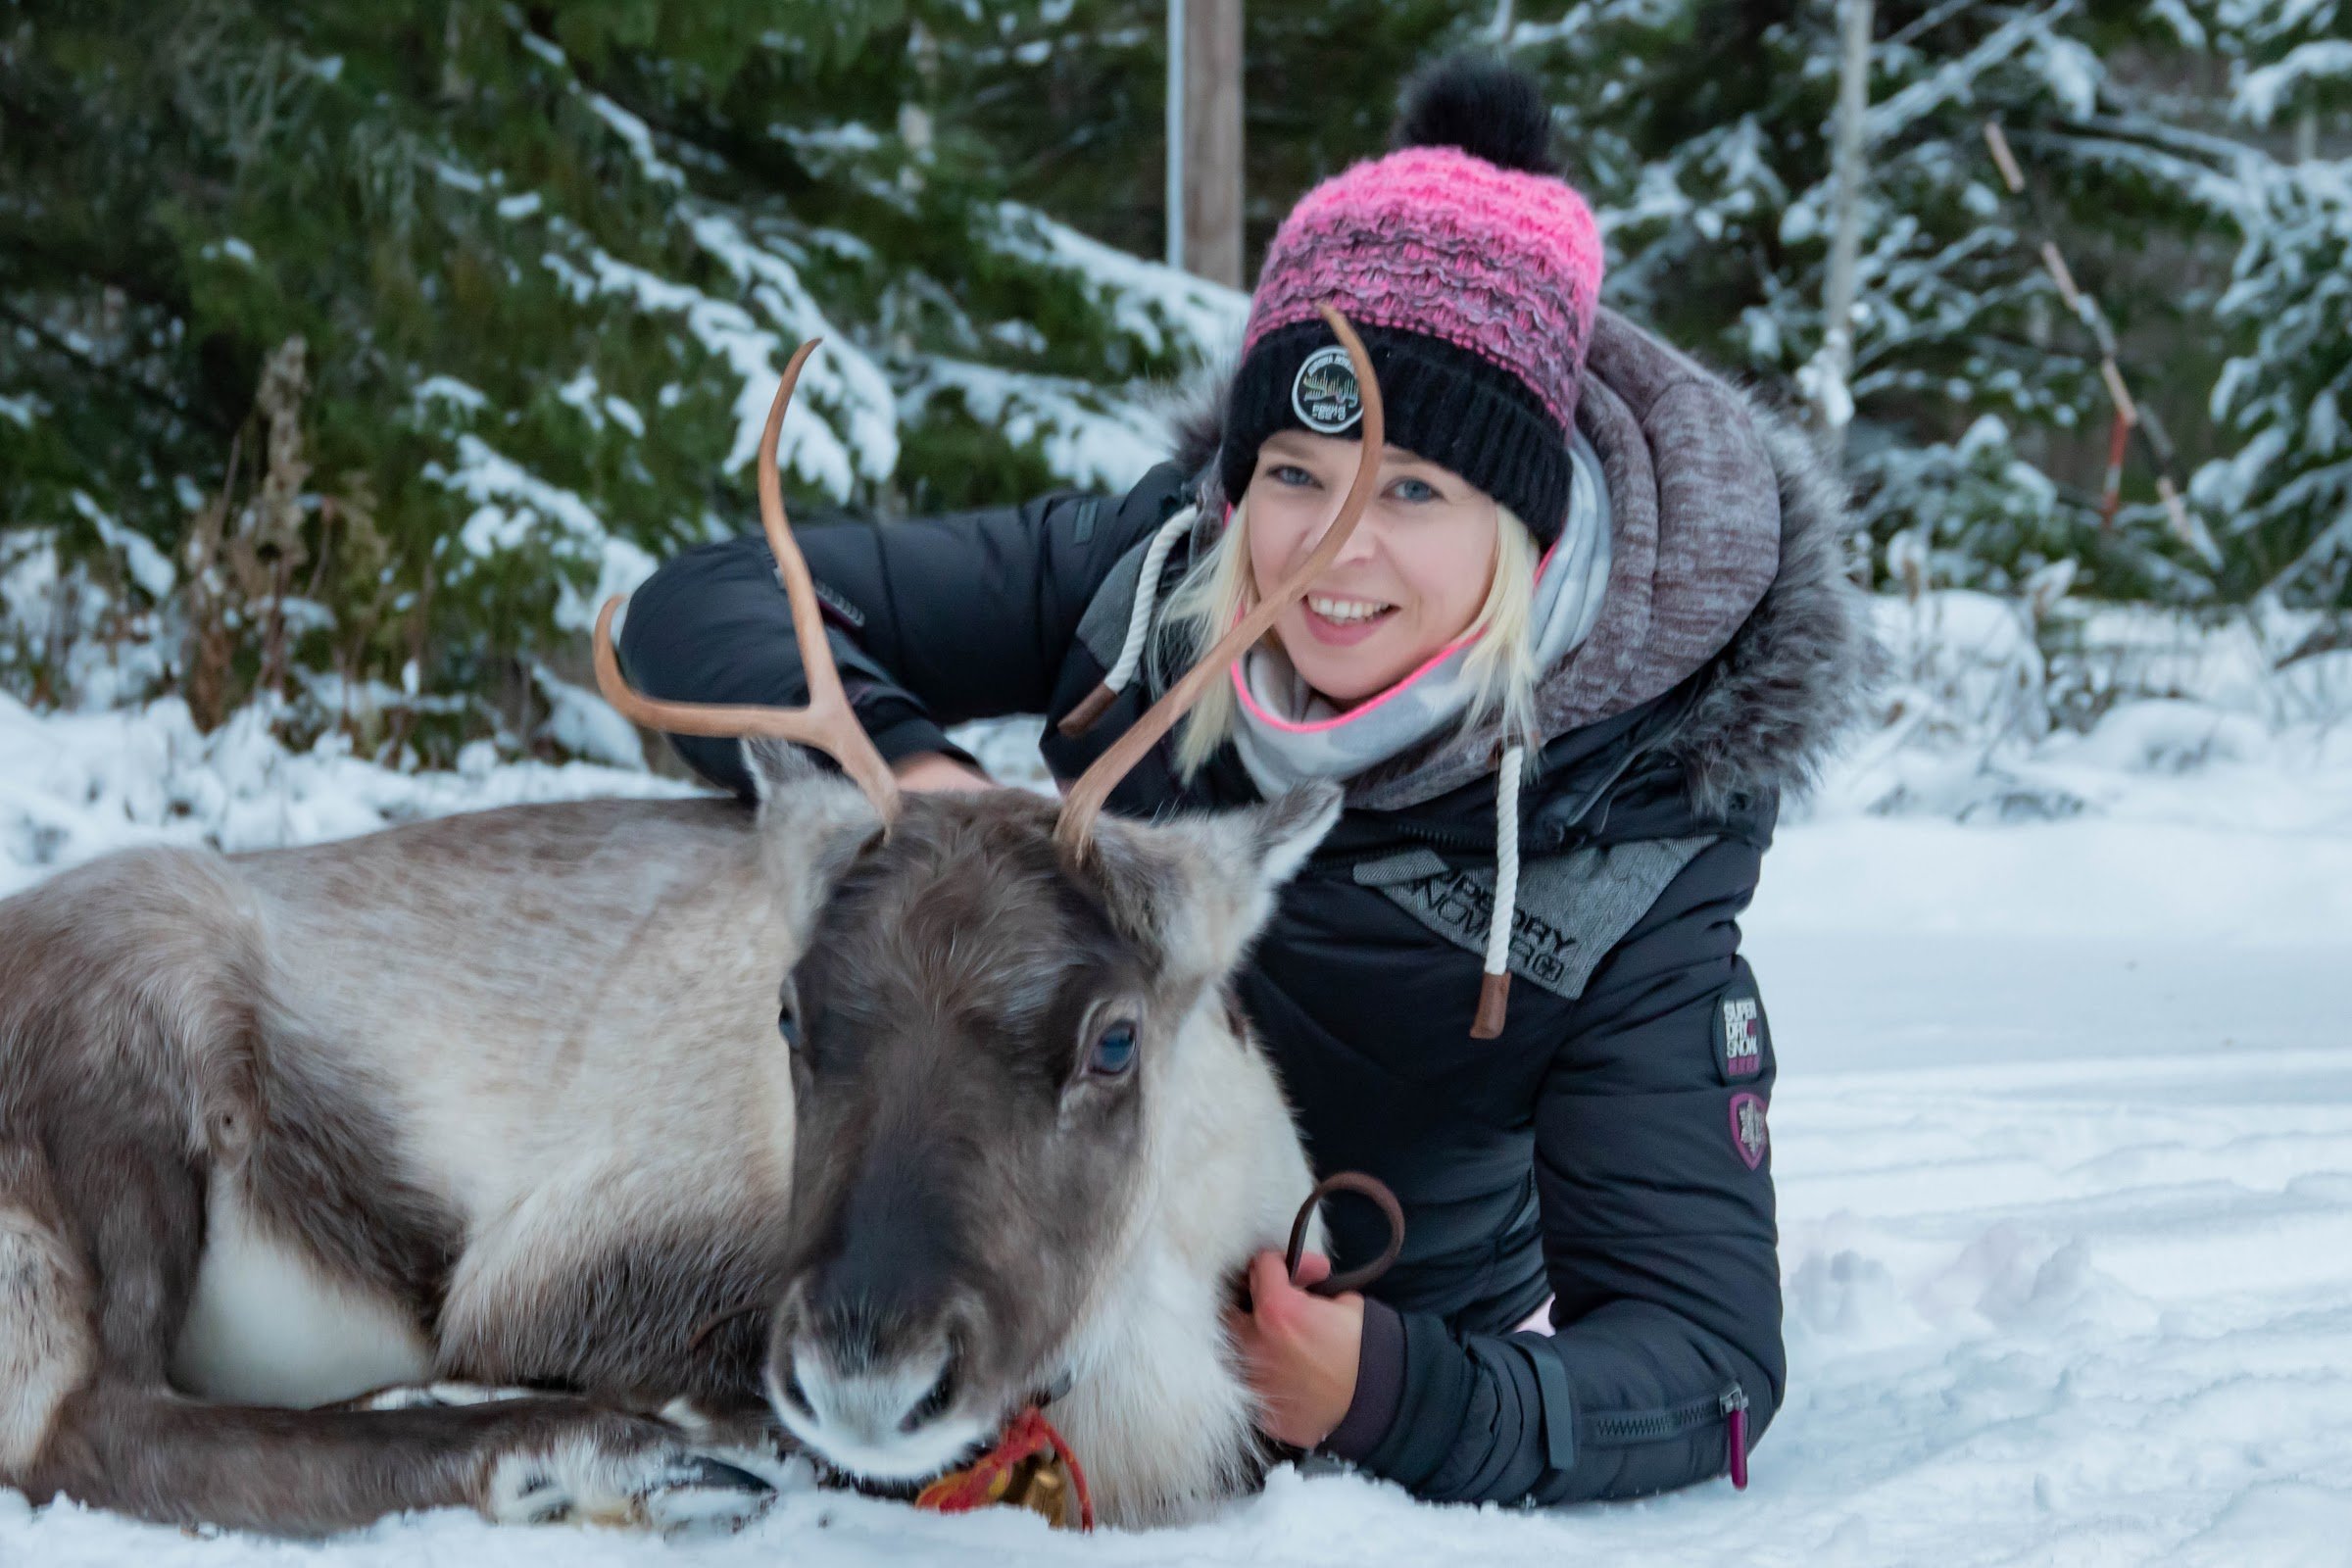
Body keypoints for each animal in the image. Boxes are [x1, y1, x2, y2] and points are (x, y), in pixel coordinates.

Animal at [0, 311, 1401, 1537]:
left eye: (1116, 1038)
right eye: (788, 1011)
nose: (869, 1374)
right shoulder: (563, 1262)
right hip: (123, 1054)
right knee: (95, 1420)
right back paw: (575, 1454)